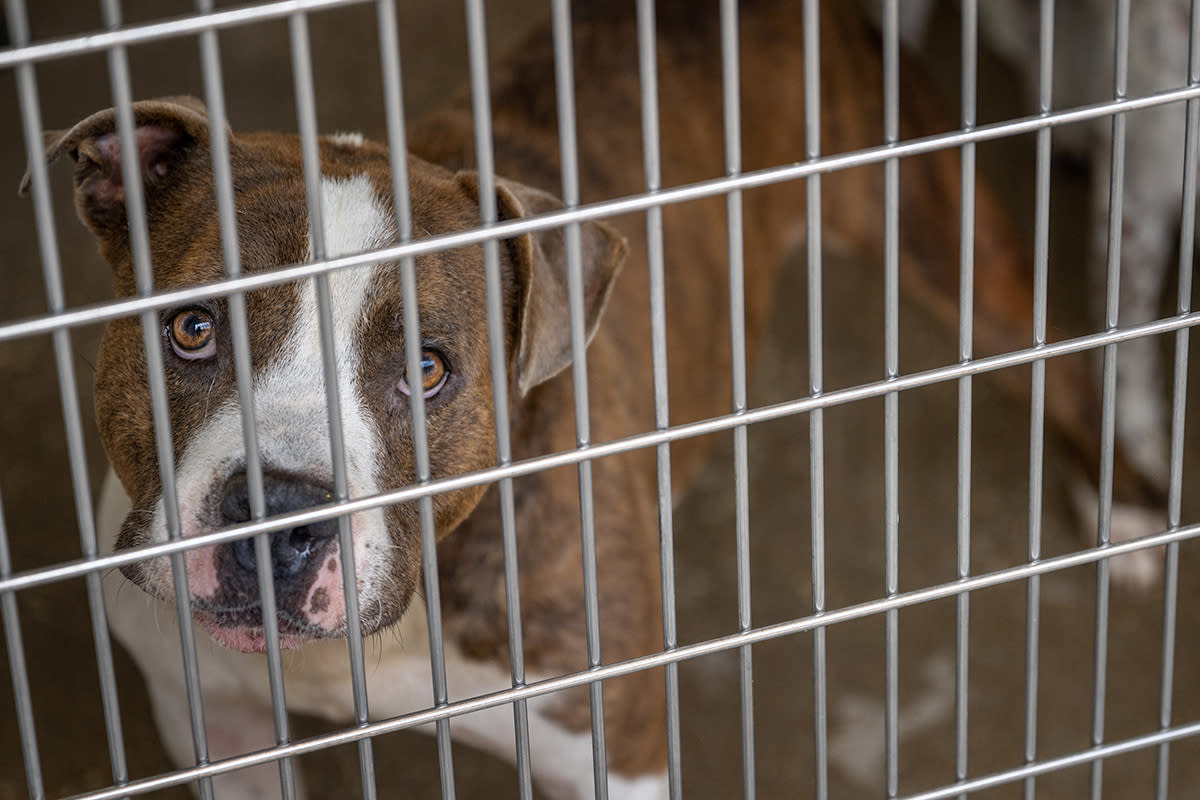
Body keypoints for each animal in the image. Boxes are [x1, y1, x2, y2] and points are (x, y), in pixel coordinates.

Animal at [28, 1, 1166, 800]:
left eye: (429, 367)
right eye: (192, 329)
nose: (277, 513)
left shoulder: (615, 746)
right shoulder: (216, 727)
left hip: (938, 224)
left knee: (1061, 355)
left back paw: (1127, 507)